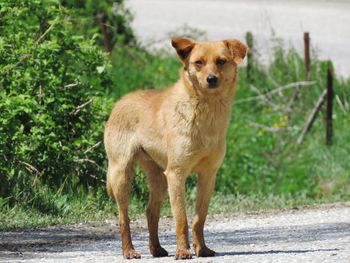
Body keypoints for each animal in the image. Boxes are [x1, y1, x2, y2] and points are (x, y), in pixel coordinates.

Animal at [104, 37, 246, 260]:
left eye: (221, 61)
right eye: (198, 62)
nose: (211, 79)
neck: (206, 112)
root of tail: (120, 102)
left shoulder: (208, 175)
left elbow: (199, 219)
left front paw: (201, 249)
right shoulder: (177, 174)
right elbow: (181, 219)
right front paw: (183, 251)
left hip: (159, 179)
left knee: (151, 212)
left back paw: (156, 249)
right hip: (122, 174)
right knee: (123, 218)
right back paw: (129, 250)